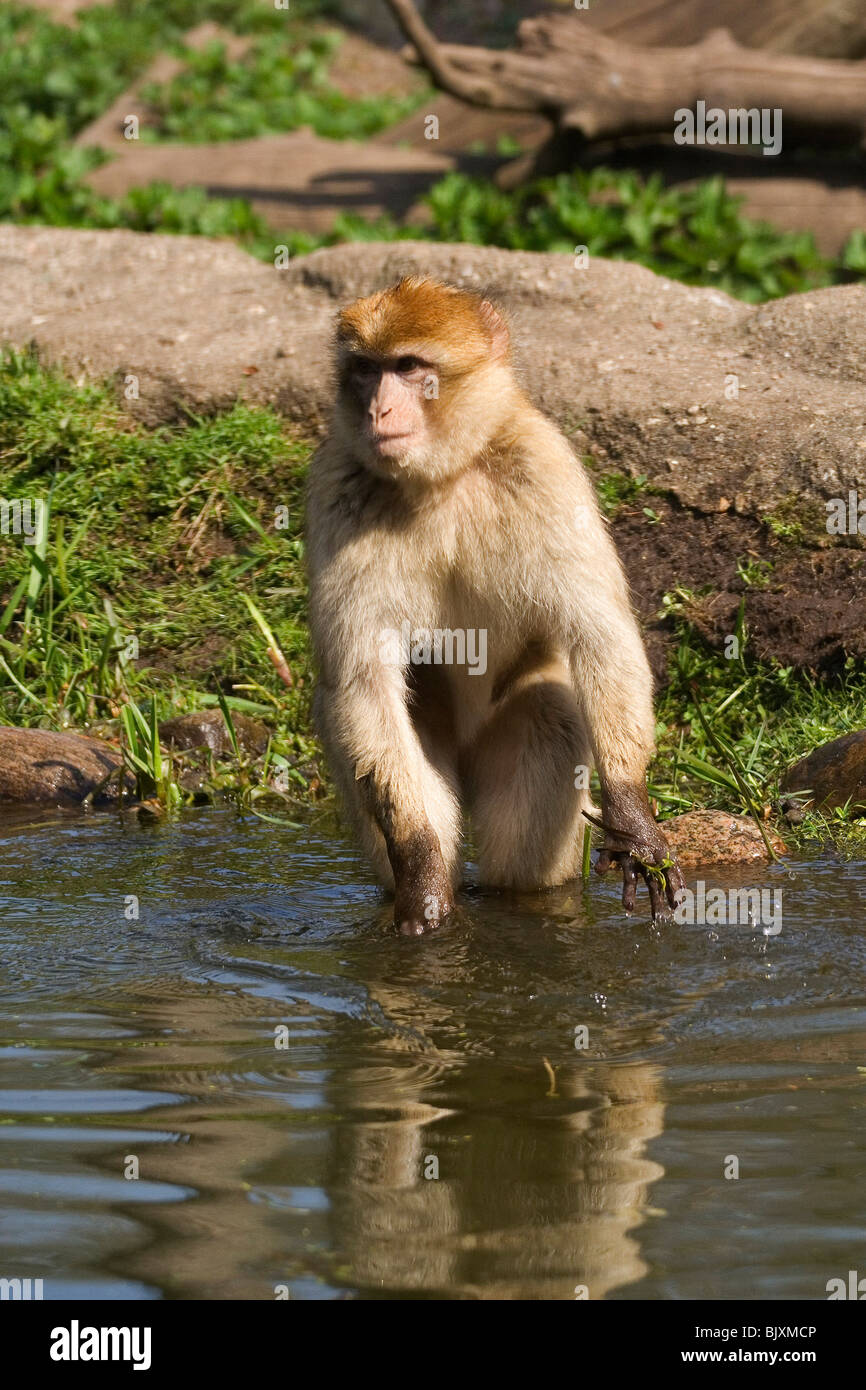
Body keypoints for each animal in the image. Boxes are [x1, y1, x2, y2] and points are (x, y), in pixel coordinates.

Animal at [308, 273, 686, 934]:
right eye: (366, 369)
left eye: (409, 366)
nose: (379, 410)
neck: (443, 477)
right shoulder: (338, 490)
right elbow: (362, 680)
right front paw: (423, 876)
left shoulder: (544, 468)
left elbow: (600, 635)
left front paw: (635, 820)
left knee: (550, 714)